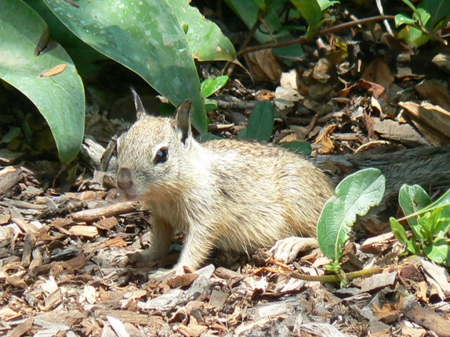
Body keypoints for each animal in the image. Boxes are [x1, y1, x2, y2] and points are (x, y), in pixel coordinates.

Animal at [116, 91, 334, 272]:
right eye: (119, 144)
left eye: (162, 154)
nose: (122, 182)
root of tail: (330, 189)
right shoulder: (161, 217)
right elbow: (159, 244)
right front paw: (142, 255)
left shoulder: (206, 214)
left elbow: (197, 245)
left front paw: (175, 271)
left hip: (299, 199)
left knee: (323, 235)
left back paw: (292, 243)